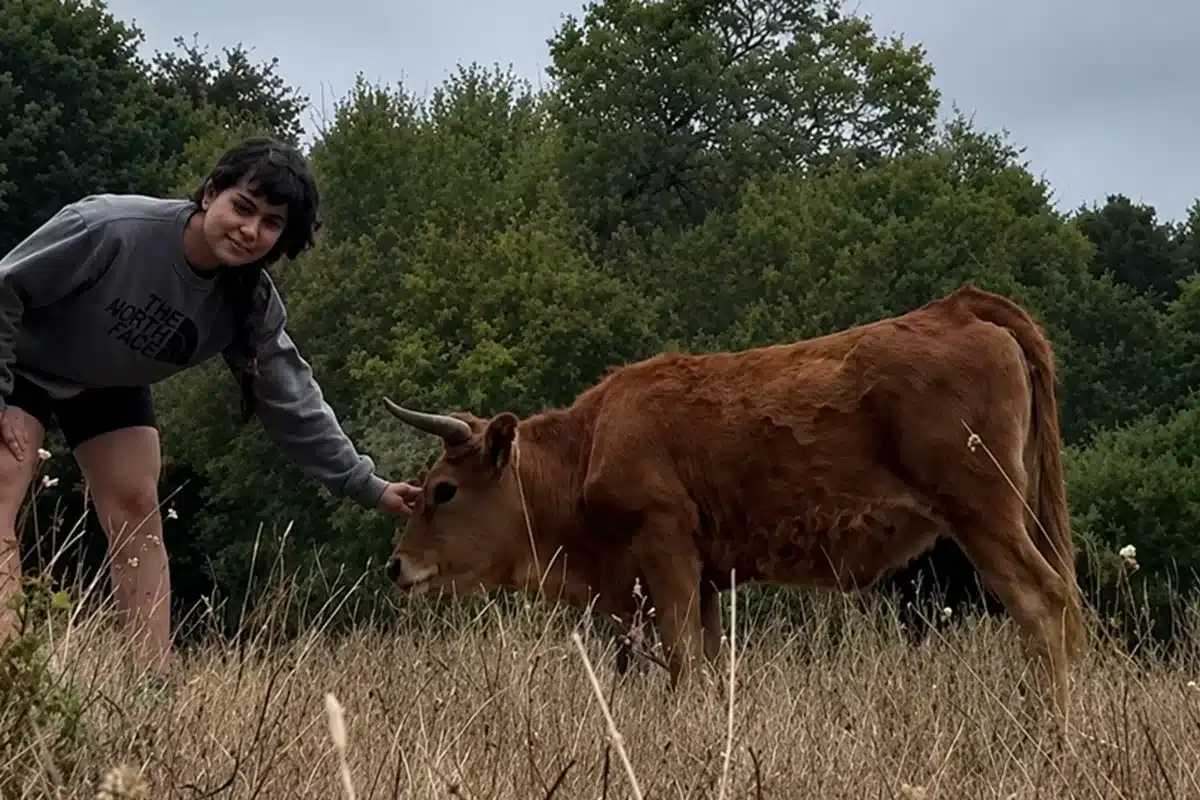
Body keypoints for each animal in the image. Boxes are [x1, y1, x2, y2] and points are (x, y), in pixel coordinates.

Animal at [381, 284, 1085, 725]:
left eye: (444, 490)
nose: (397, 565)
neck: (590, 445)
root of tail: (961, 308)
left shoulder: (667, 556)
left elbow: (681, 661)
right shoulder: (710, 582)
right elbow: (712, 665)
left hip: (984, 513)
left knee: (1042, 603)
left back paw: (1049, 732)